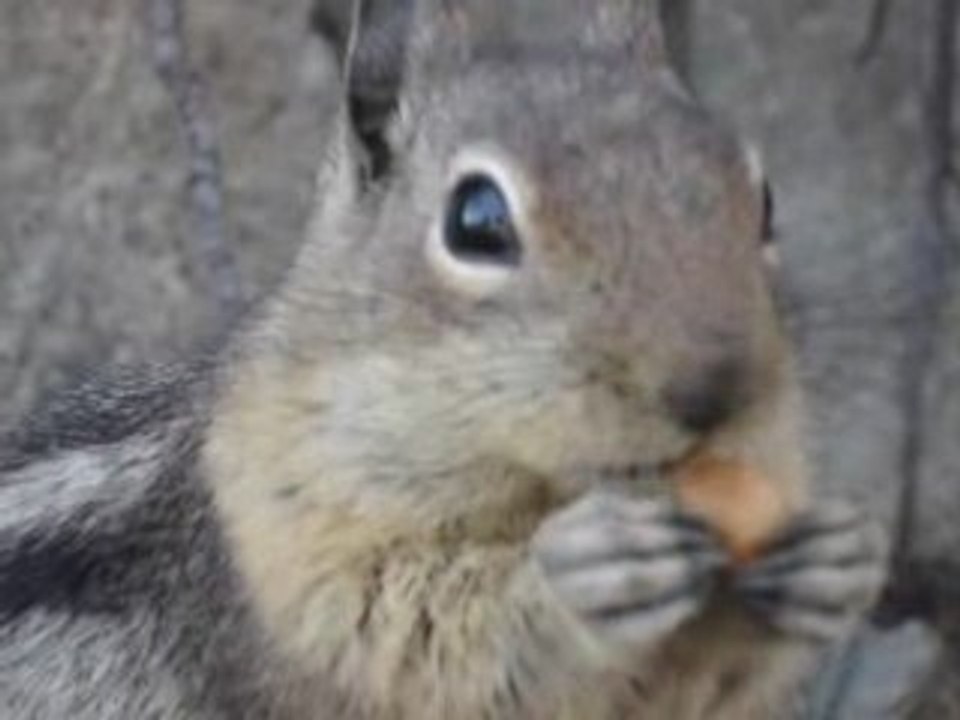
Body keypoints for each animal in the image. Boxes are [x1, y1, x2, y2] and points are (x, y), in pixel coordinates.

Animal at [0, 1, 887, 718]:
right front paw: (572, 579)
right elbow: (416, 642)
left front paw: (839, 561)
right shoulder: (285, 565)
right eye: (477, 219)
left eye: (763, 198)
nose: (716, 390)